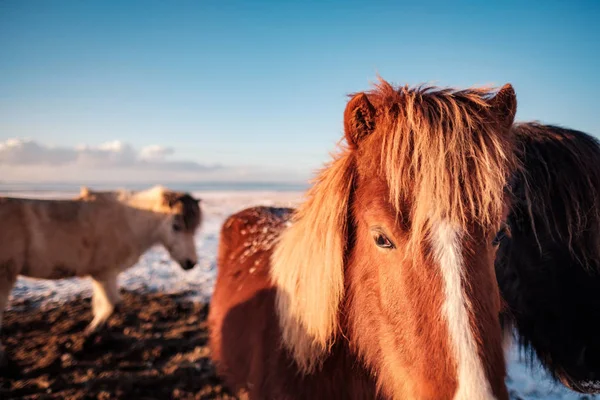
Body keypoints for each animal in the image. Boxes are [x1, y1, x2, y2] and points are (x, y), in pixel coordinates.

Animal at [0, 184, 204, 362]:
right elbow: (110, 305)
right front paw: (89, 334)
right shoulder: (104, 273)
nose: (191, 263)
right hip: (6, 275)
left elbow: (103, 306)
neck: (128, 222)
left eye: (195, 228)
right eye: (176, 226)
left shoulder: (104, 275)